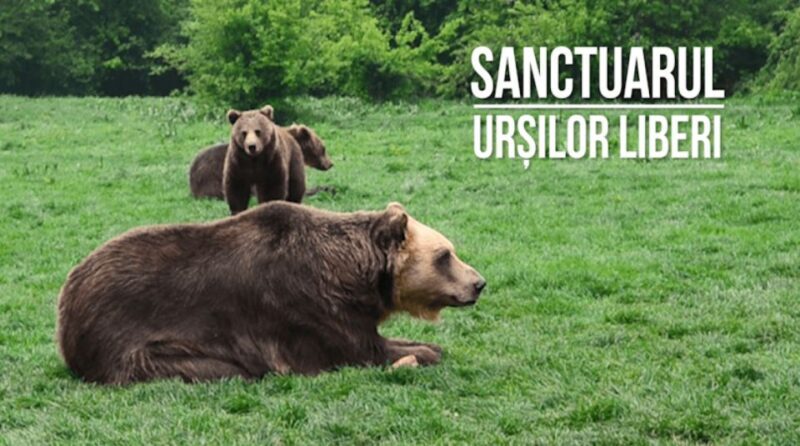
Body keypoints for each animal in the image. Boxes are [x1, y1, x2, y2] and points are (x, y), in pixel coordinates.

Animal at [56, 202, 486, 384]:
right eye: (445, 255)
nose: (478, 283)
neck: (351, 276)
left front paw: (424, 345)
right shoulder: (305, 306)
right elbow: (359, 350)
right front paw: (424, 352)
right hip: (131, 341)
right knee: (219, 368)